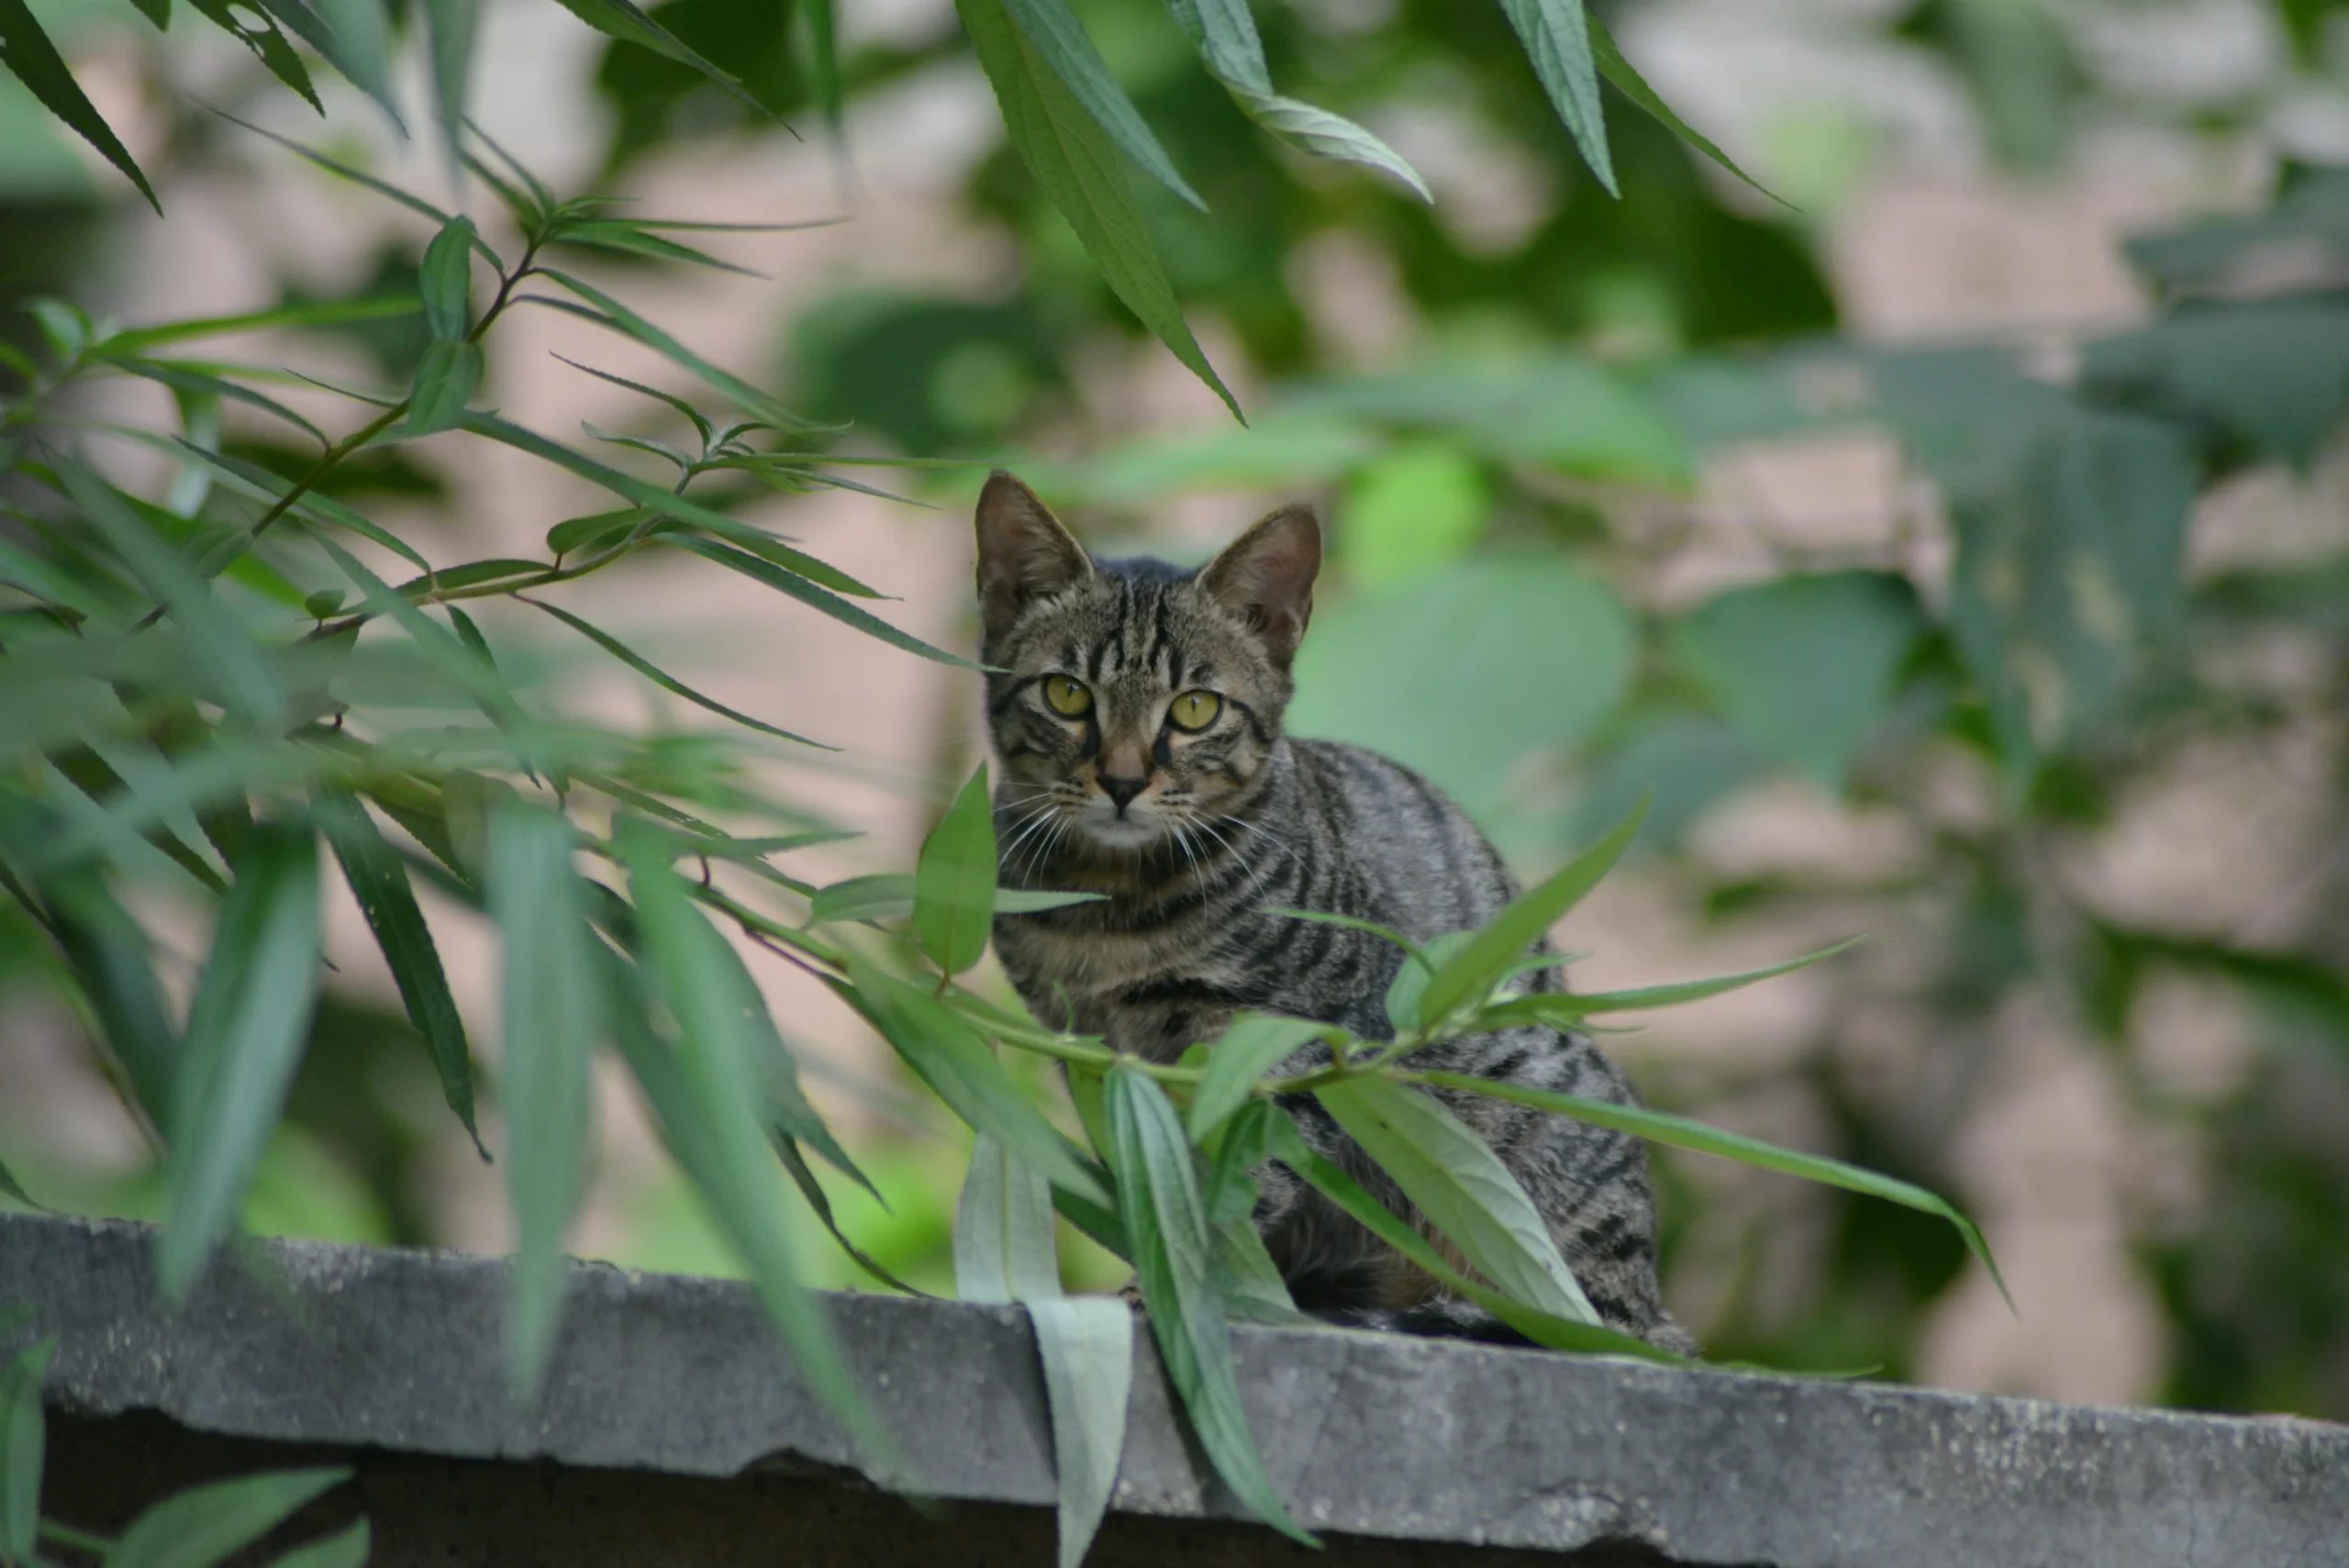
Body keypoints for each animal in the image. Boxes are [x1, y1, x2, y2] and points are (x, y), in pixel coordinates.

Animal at [967, 469, 1691, 1351]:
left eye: (1196, 708)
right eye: (1067, 694)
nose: (1124, 780)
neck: (1109, 899)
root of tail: (1654, 1304)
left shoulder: (1289, 1041)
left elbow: (1231, 1180)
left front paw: (1178, 1283)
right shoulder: (1092, 1051)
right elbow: (1151, 1171)